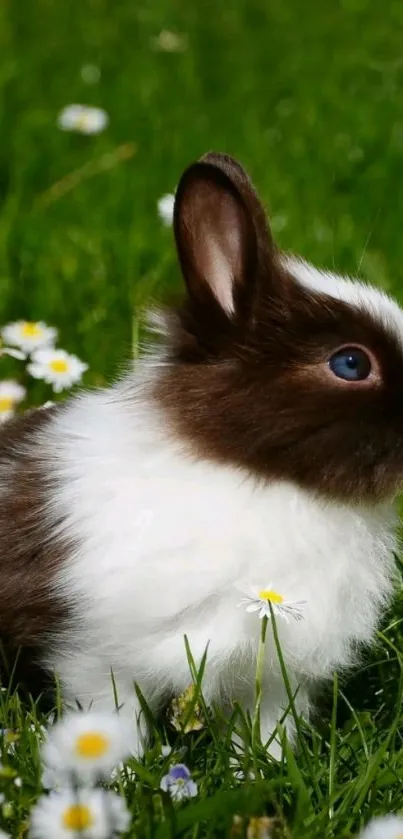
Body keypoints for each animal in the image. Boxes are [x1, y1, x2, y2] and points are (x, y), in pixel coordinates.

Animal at [1, 153, 402, 760]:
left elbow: (265, 732)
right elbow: (110, 723)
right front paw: (121, 774)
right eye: (351, 364)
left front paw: (257, 772)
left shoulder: (274, 677)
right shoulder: (98, 659)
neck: (258, 477)